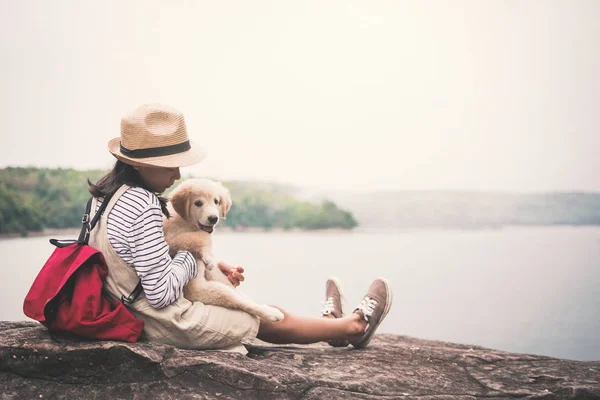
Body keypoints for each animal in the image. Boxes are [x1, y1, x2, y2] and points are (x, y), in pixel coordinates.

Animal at [163, 180, 284, 324]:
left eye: (216, 201)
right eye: (198, 203)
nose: (213, 218)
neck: (186, 223)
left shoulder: (211, 273)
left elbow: (232, 290)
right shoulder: (194, 288)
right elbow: (202, 235)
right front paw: (269, 312)